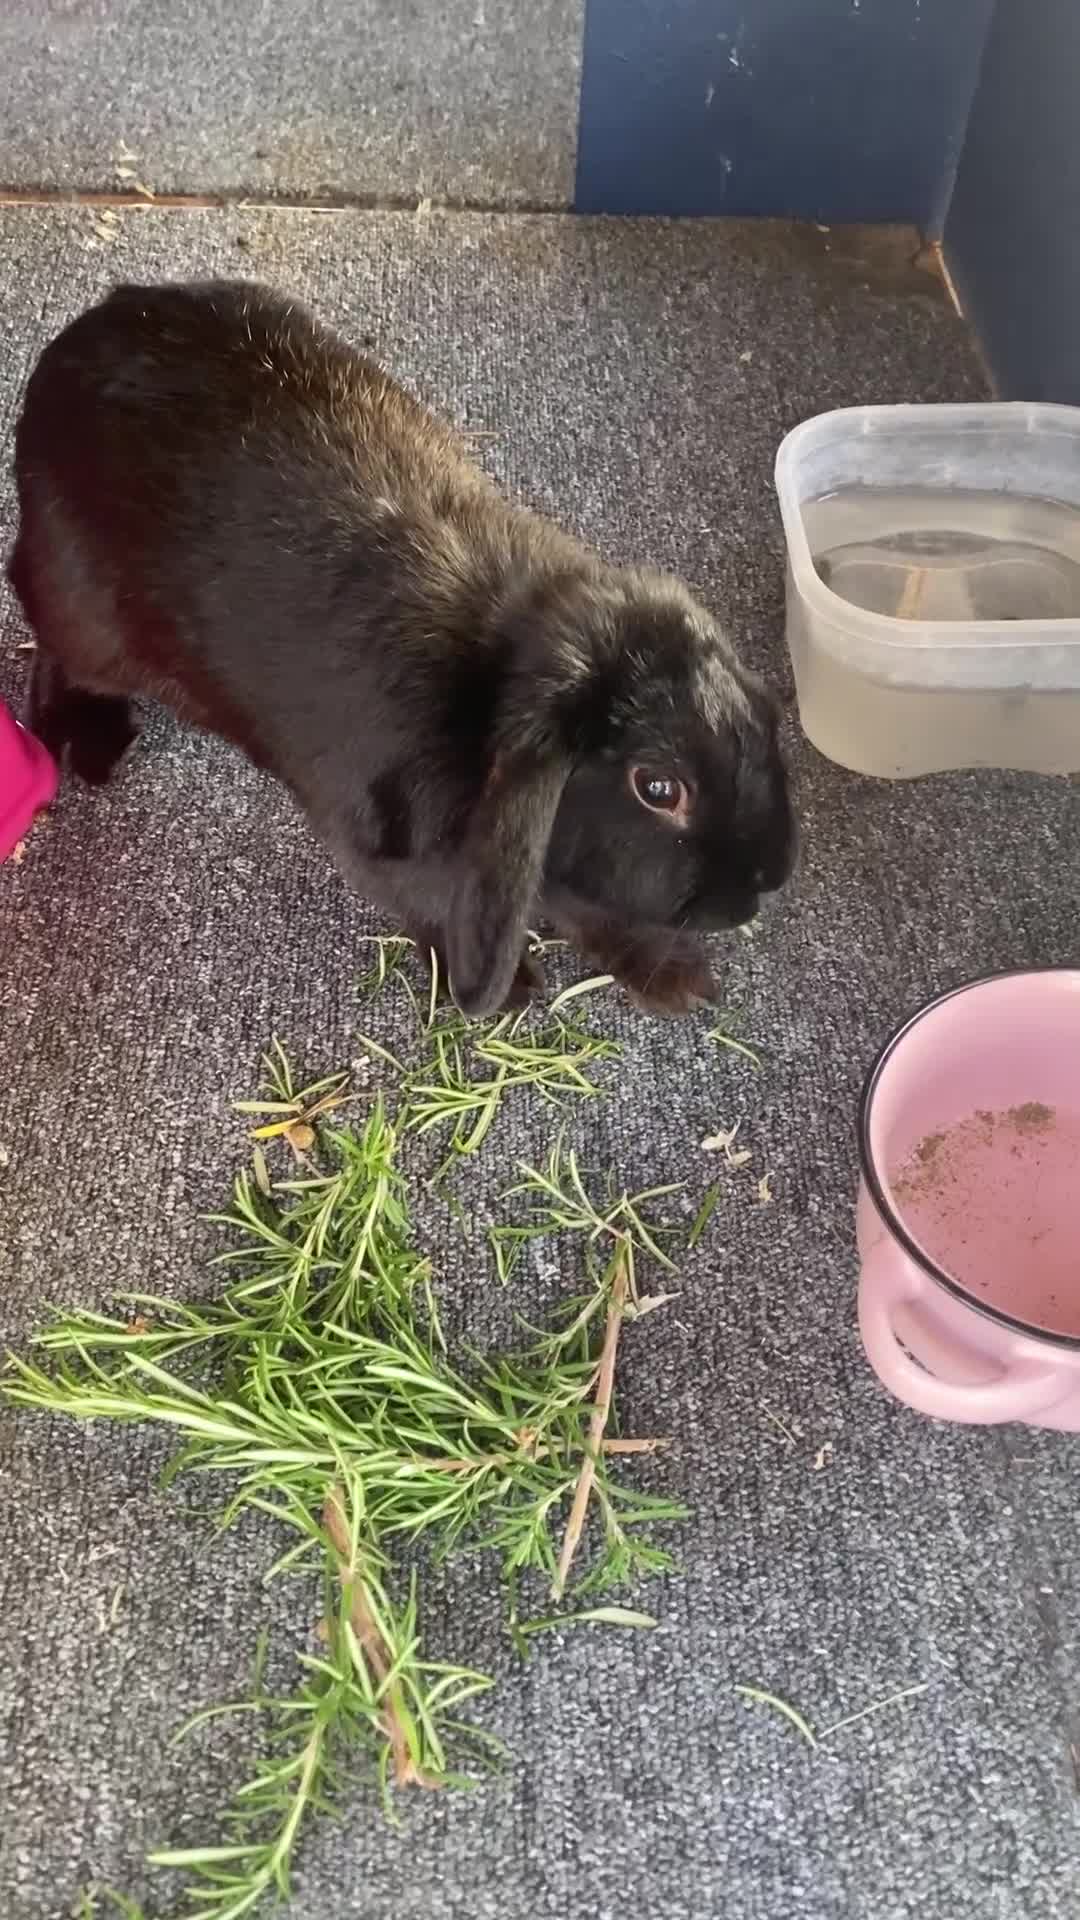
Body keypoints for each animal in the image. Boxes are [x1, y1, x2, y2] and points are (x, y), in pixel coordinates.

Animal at [7, 278, 796, 1018]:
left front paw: (676, 979)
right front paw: (510, 991)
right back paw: (86, 741)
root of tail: (83, 337)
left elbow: (590, 910)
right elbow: (439, 915)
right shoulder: (385, 857)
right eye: (657, 788)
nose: (765, 883)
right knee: (50, 647)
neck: (489, 687)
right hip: (87, 621)